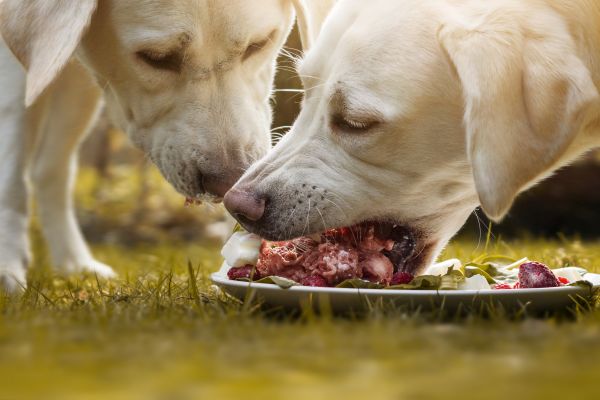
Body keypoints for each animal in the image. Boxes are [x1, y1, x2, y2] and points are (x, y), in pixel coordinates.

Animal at [0, 0, 332, 290]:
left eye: (258, 44)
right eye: (156, 58)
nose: (227, 183)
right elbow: (11, 176)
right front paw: (7, 266)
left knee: (50, 169)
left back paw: (74, 262)